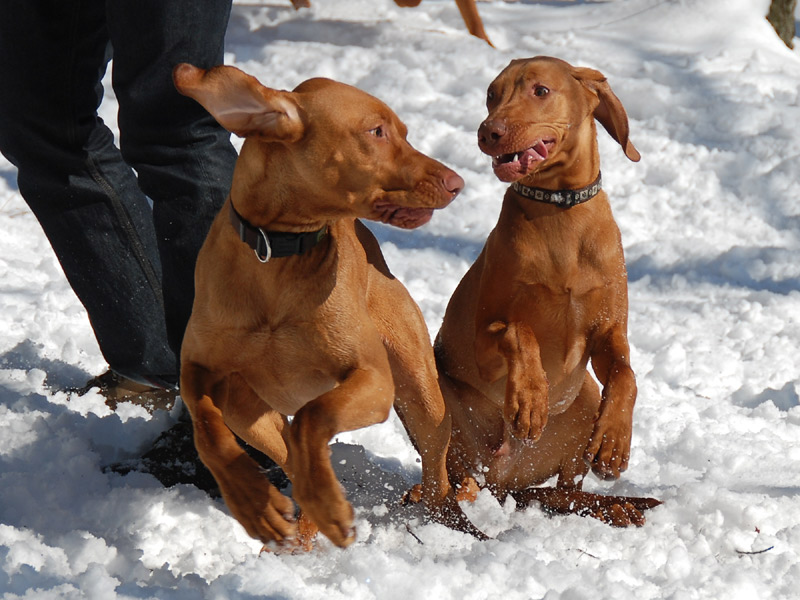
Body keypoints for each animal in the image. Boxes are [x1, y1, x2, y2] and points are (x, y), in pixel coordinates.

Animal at [173, 62, 482, 548]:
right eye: (376, 131)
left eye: (403, 132)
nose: (457, 183)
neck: (277, 254)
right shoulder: (199, 370)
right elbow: (208, 429)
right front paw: (254, 504)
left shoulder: (373, 379)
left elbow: (314, 417)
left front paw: (323, 503)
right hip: (250, 411)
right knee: (288, 449)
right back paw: (300, 525)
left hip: (420, 392)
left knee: (436, 472)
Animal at [434, 56, 660, 524]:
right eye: (492, 94)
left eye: (540, 91)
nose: (488, 132)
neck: (560, 211)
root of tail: (505, 480)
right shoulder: (484, 343)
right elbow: (521, 332)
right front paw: (529, 399)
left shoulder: (609, 332)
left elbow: (626, 374)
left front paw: (615, 441)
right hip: (447, 411)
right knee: (458, 478)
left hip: (584, 403)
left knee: (565, 493)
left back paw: (615, 507)